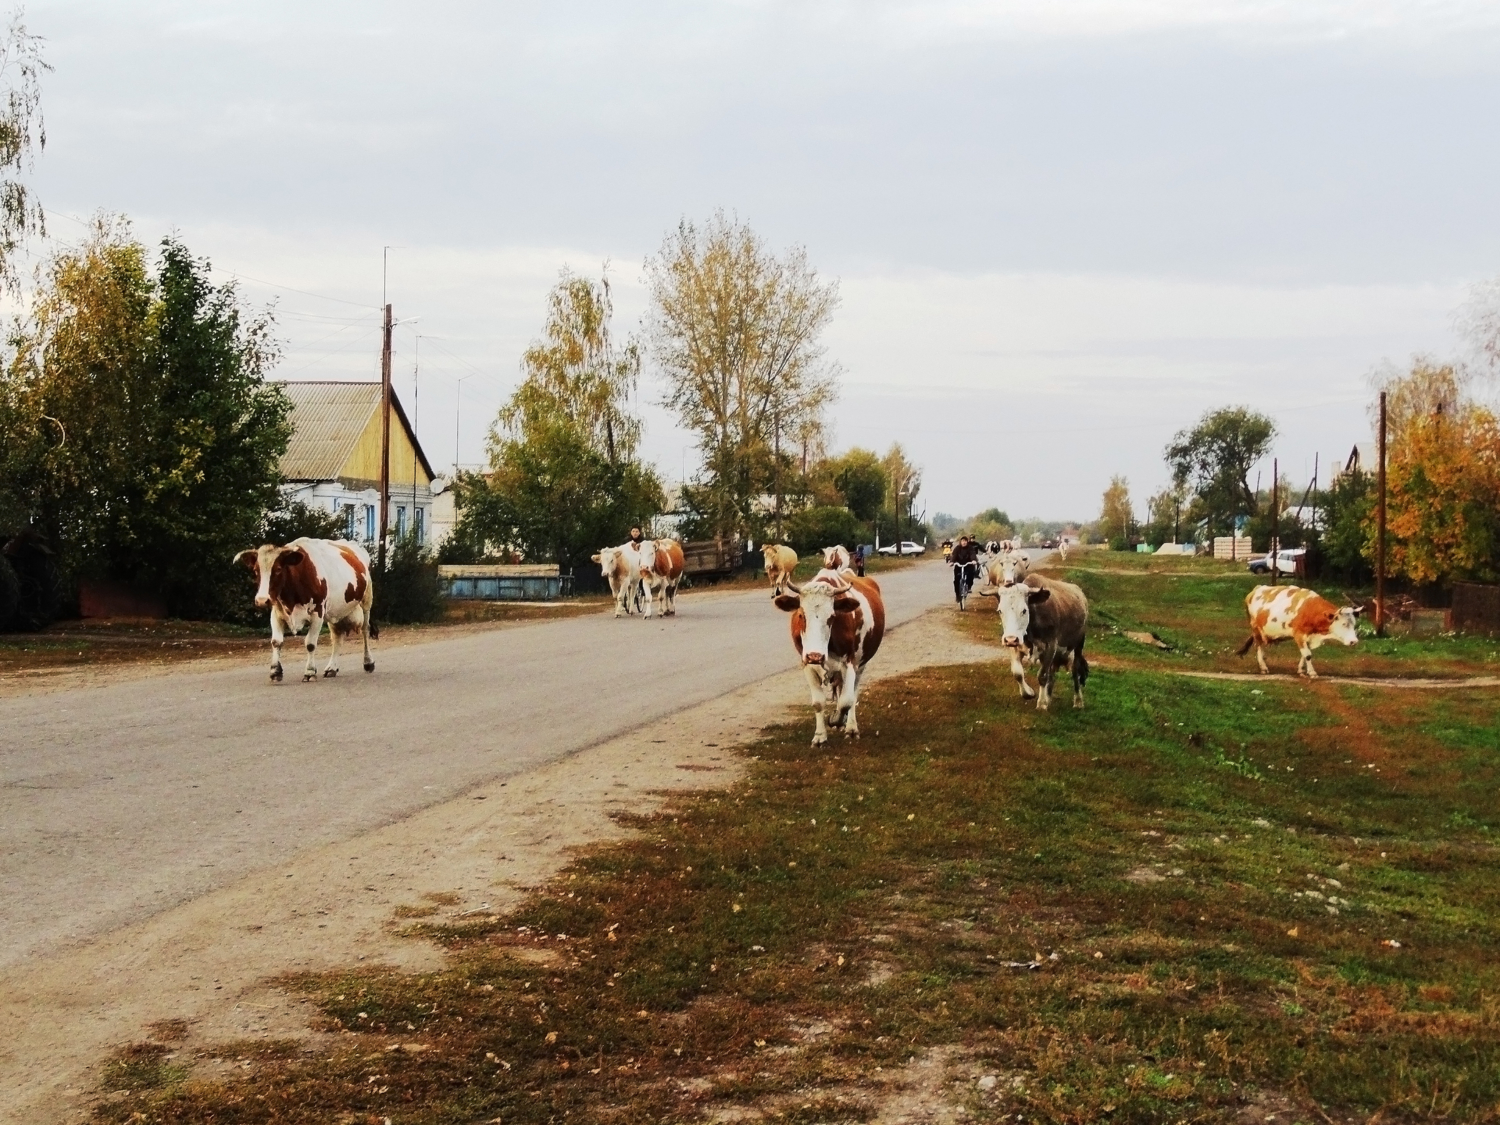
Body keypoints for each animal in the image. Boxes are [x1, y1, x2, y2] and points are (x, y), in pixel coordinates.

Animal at [235, 540, 378, 687]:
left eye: (278, 569)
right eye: (256, 571)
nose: (262, 600)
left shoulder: (318, 613)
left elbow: (310, 644)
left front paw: (309, 672)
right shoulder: (276, 613)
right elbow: (276, 642)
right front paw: (275, 672)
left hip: (366, 602)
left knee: (365, 631)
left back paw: (368, 662)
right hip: (335, 611)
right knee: (337, 637)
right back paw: (332, 668)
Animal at [780, 573, 882, 750]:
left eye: (832, 616)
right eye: (801, 615)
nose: (815, 656)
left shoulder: (849, 662)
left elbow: (846, 701)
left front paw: (837, 720)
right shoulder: (806, 664)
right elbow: (818, 703)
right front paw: (819, 737)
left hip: (860, 665)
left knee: (852, 694)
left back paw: (850, 727)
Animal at [984, 576, 1092, 708]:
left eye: (1024, 610)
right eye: (1000, 611)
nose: (1010, 639)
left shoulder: (1050, 646)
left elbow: (1042, 676)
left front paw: (1041, 703)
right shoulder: (1016, 645)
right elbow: (1017, 673)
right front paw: (1029, 693)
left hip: (1078, 645)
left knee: (1075, 671)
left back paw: (1078, 701)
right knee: (1052, 673)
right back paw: (1049, 696)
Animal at [1236, 585, 1368, 675]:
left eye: (1354, 624)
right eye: (1343, 624)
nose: (1354, 641)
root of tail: (1256, 589)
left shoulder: (1308, 637)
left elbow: (1305, 654)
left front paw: (1301, 670)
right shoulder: (1298, 634)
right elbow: (1308, 655)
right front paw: (1312, 672)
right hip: (1256, 630)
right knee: (1259, 646)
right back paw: (1263, 667)